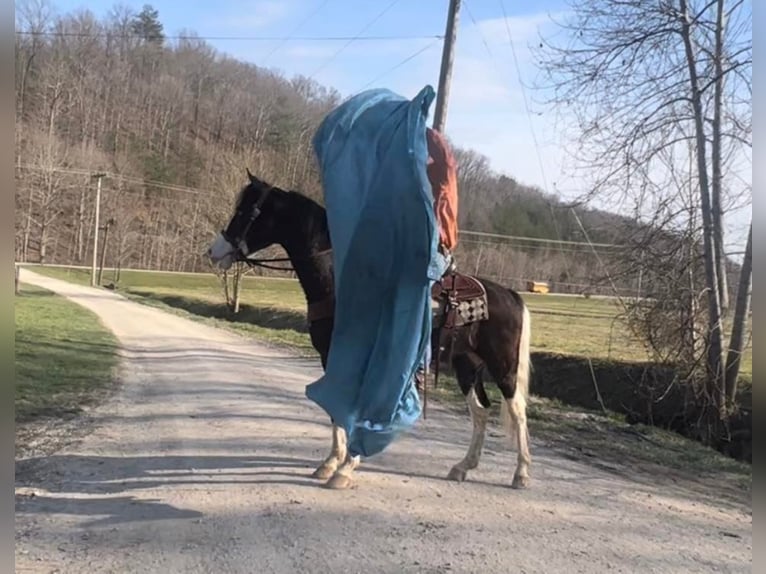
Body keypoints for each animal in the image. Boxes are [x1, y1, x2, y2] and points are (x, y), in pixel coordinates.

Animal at [208, 170, 536, 490]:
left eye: (247, 211)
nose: (214, 251)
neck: (341, 283)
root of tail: (510, 294)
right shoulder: (331, 357)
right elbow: (336, 410)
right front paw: (331, 462)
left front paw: (346, 467)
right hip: (466, 364)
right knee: (480, 411)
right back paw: (462, 467)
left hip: (502, 367)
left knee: (517, 412)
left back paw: (521, 474)